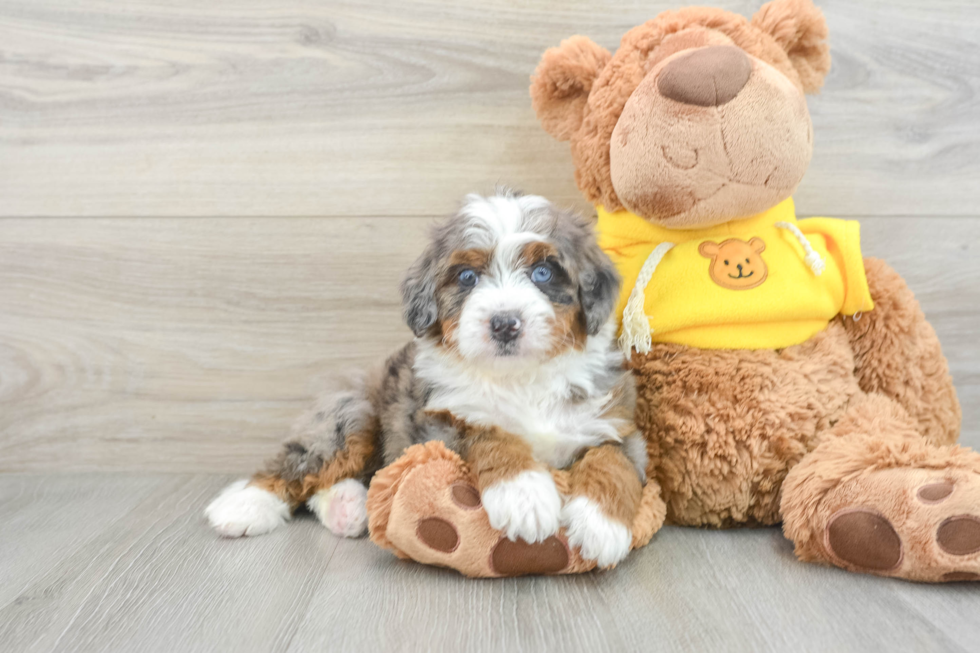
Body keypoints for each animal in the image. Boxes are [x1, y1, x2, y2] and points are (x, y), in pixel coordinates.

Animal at [206, 190, 648, 564]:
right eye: (467, 277)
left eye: (543, 272)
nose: (504, 324)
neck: (520, 378)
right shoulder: (440, 422)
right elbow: (490, 433)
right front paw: (525, 497)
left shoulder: (616, 423)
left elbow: (614, 462)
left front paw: (599, 526)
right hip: (350, 414)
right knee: (301, 463)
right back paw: (242, 505)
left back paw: (348, 508)